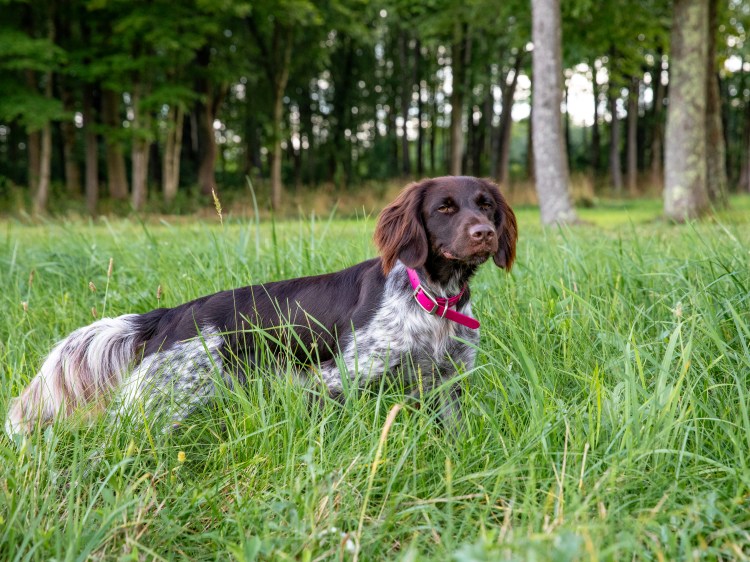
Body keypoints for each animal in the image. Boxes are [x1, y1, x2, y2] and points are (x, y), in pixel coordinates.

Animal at [5, 176, 517, 438]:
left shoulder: (448, 382)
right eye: (444, 208)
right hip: (160, 401)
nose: (484, 233)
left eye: (486, 205)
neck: (433, 300)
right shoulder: (338, 379)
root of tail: (169, 315)